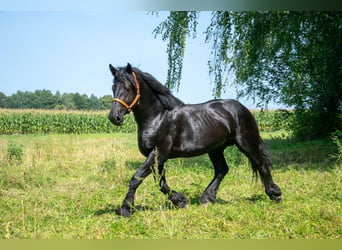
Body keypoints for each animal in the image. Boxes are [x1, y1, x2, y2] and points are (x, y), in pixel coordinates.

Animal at [108, 63, 282, 217]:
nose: (114, 117)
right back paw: (207, 198)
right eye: (113, 88)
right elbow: (161, 183)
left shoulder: (158, 153)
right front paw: (180, 201)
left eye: (128, 88)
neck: (158, 117)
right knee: (222, 169)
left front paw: (125, 209)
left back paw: (275, 194)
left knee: (261, 165)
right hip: (216, 149)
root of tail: (242, 108)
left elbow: (136, 178)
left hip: (246, 143)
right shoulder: (157, 158)